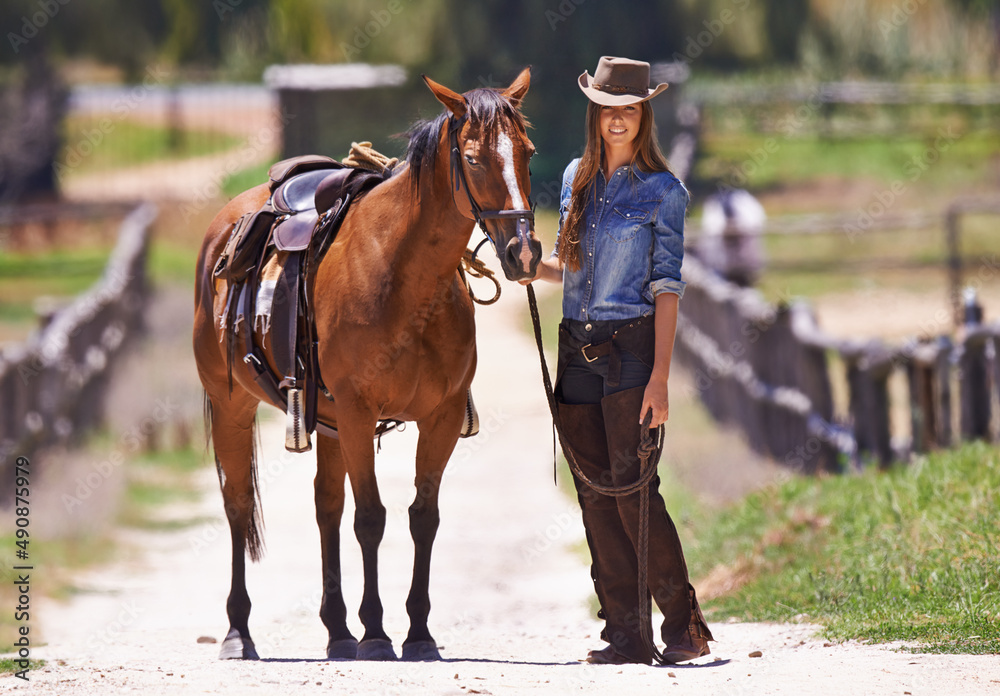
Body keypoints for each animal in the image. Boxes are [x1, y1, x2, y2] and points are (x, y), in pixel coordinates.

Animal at [192, 70, 544, 664]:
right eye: (473, 158)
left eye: (527, 152)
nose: (524, 253)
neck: (403, 276)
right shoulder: (359, 413)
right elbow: (371, 518)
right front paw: (377, 632)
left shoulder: (440, 417)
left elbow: (422, 517)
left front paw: (418, 633)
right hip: (232, 406)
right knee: (238, 505)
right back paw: (239, 633)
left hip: (329, 424)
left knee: (325, 507)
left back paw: (337, 631)